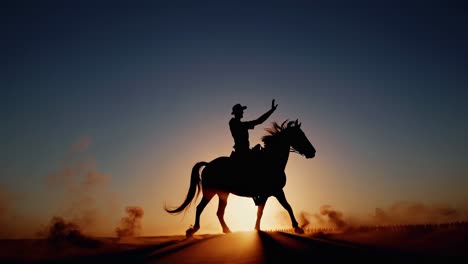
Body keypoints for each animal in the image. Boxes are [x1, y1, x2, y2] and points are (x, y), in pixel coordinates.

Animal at [164, 119, 314, 237]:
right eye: (300, 135)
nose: (313, 152)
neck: (272, 160)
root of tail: (208, 165)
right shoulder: (276, 191)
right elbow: (287, 206)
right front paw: (297, 228)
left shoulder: (267, 194)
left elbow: (261, 211)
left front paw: (257, 228)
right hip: (210, 192)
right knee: (200, 208)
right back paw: (193, 230)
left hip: (223, 194)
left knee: (219, 212)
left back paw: (227, 230)